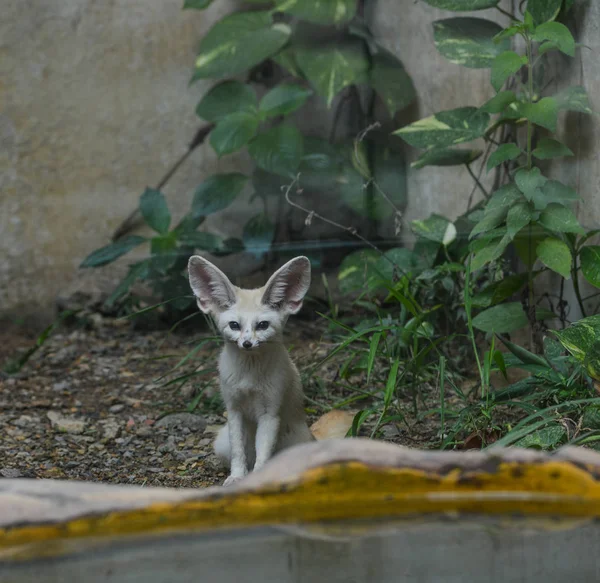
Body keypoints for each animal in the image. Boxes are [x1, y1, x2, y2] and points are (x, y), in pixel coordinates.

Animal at [188, 256, 354, 488]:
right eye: (234, 325)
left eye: (263, 325)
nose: (247, 344)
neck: (249, 377)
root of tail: (312, 436)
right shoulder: (234, 409)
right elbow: (239, 452)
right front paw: (237, 477)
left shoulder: (270, 412)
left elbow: (263, 453)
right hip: (221, 443)